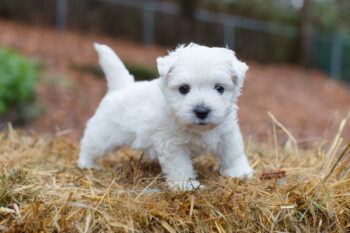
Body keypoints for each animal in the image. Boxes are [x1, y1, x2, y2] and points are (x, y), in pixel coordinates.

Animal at [78, 42, 254, 190]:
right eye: (184, 89)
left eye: (219, 88)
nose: (202, 111)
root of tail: (121, 87)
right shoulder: (173, 144)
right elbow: (180, 165)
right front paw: (186, 185)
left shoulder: (227, 133)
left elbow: (233, 152)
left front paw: (240, 171)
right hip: (104, 134)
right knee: (89, 145)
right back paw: (86, 165)